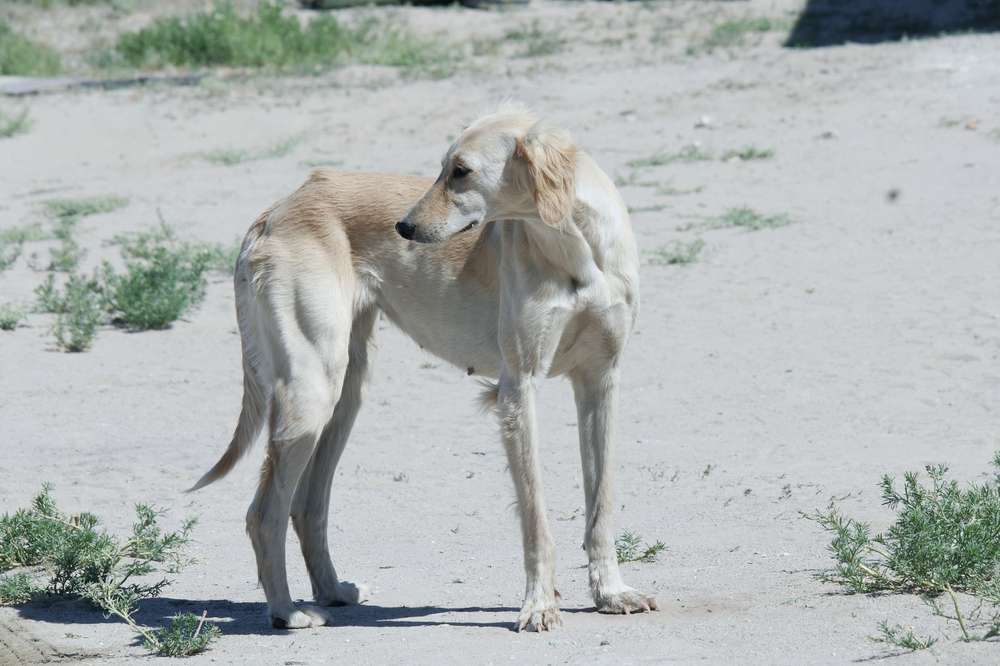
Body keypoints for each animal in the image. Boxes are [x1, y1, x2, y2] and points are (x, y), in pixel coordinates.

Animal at [189, 104, 656, 628]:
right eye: (441, 168)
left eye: (461, 171)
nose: (404, 228)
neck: (575, 248)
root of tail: (277, 209)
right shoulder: (519, 389)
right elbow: (536, 517)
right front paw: (539, 605)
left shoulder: (600, 382)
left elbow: (601, 504)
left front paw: (611, 592)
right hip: (313, 391)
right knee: (264, 513)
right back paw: (287, 613)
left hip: (346, 393)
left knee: (306, 506)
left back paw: (331, 590)